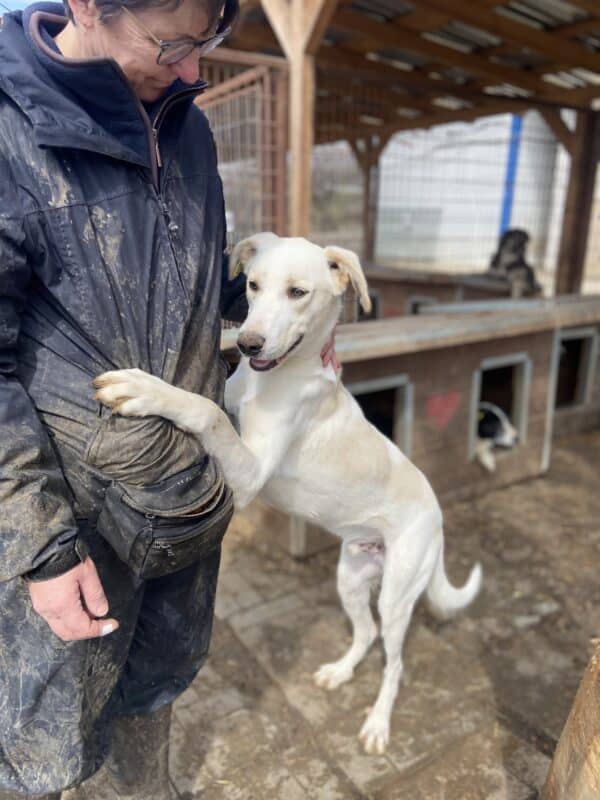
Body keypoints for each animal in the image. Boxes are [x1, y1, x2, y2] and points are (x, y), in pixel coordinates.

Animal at [92, 233, 482, 756]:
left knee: (395, 660)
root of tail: (436, 512)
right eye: (253, 286)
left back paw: (378, 723)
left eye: (298, 292)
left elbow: (205, 412)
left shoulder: (251, 473)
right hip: (352, 576)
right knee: (366, 633)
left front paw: (145, 390)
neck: (273, 375)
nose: (247, 342)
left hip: (398, 592)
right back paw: (339, 672)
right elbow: (214, 404)